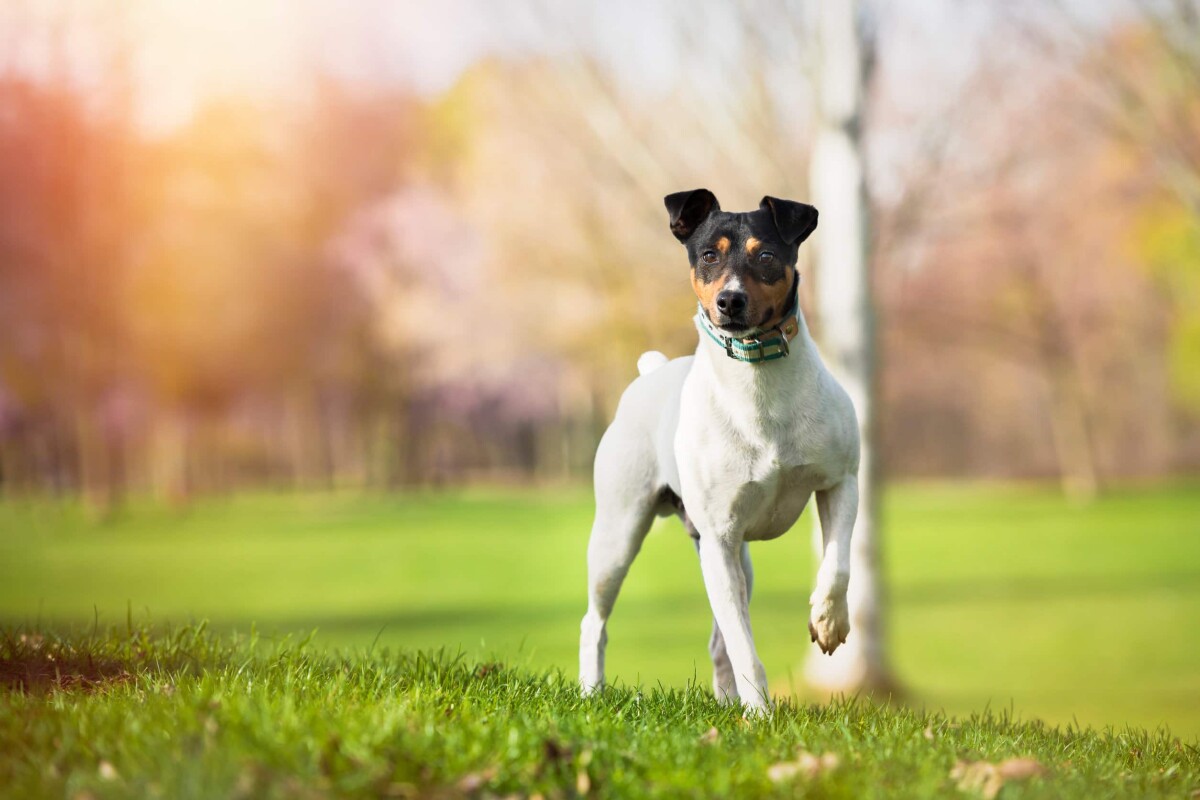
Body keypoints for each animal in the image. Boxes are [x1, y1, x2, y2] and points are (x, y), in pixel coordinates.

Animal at [576, 189, 859, 714]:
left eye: (765, 256)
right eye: (709, 255)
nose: (729, 300)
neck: (758, 383)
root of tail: (651, 373)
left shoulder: (840, 482)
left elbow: (838, 565)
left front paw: (829, 623)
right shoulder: (719, 540)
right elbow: (745, 646)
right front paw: (761, 713)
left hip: (737, 558)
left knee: (718, 640)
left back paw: (729, 703)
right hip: (619, 537)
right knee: (595, 622)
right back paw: (591, 690)